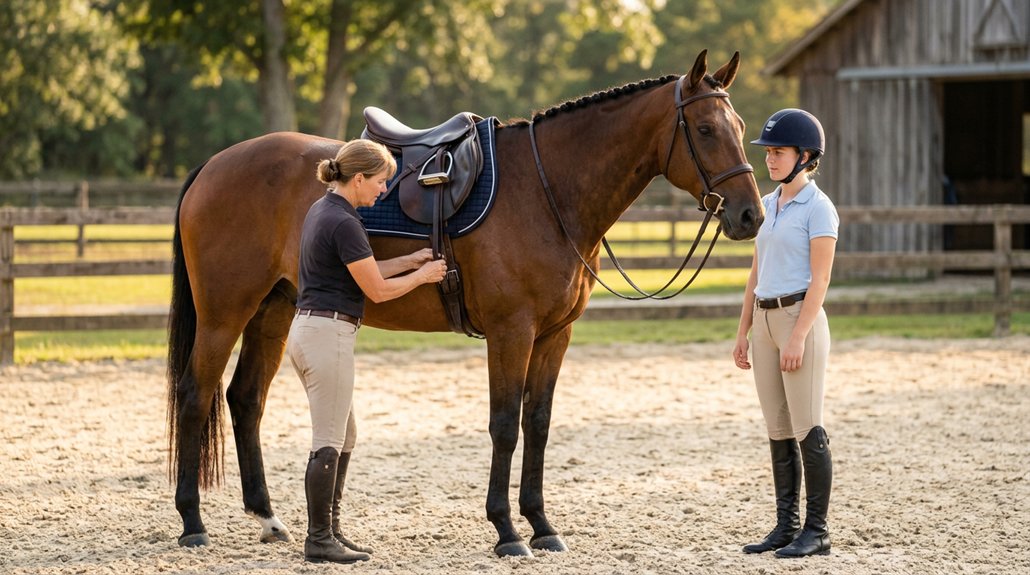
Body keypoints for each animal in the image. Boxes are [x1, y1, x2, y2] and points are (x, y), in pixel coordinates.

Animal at [166, 50, 764, 557]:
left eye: (740, 129)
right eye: (705, 130)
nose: (750, 216)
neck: (547, 191)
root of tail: (213, 165)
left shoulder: (554, 335)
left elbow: (537, 424)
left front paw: (541, 525)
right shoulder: (510, 331)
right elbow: (504, 426)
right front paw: (506, 531)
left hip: (275, 309)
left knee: (245, 399)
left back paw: (268, 519)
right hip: (224, 312)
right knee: (196, 395)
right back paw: (193, 523)